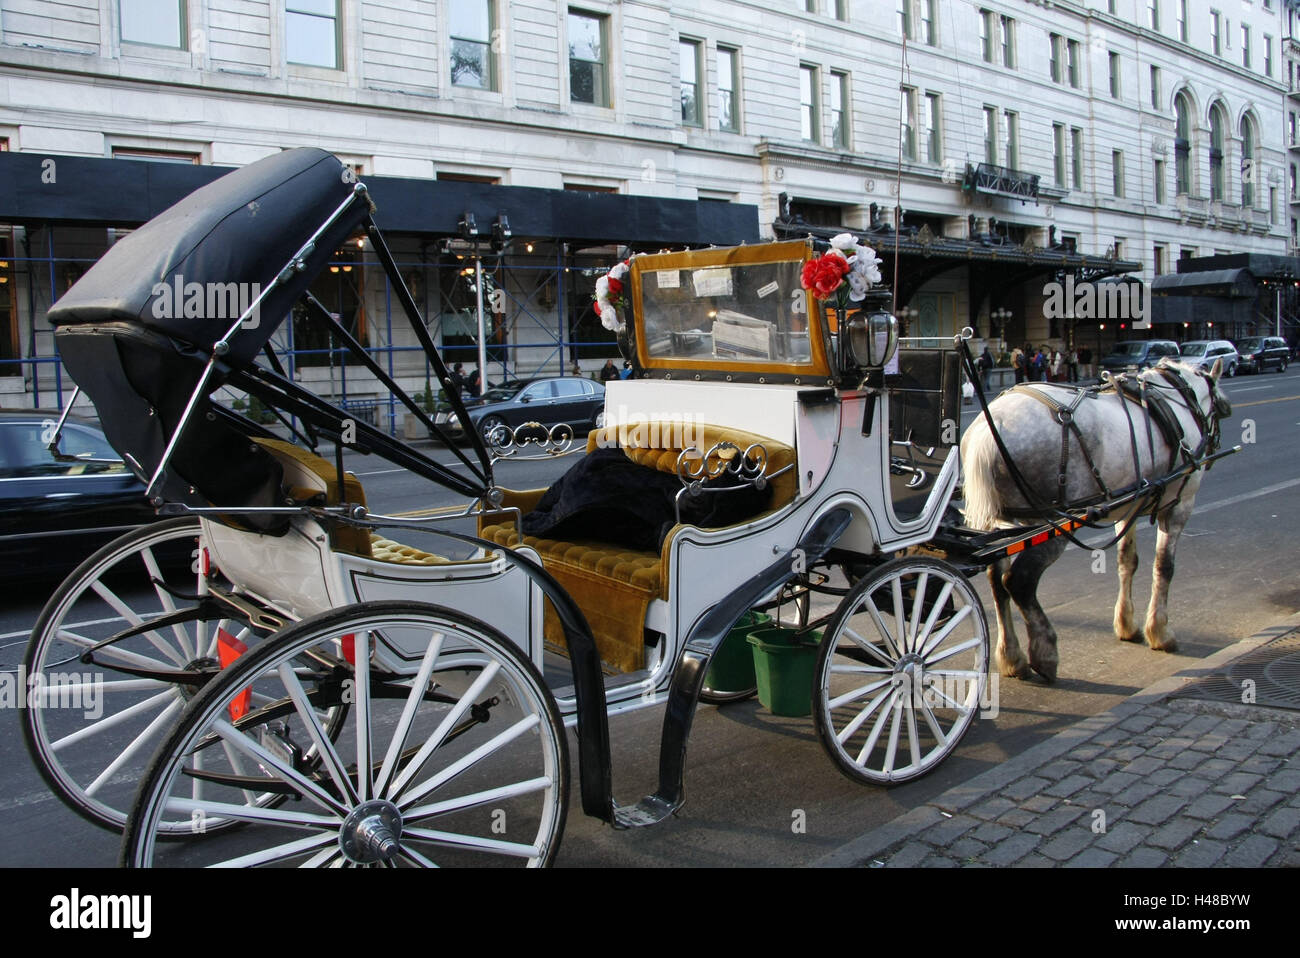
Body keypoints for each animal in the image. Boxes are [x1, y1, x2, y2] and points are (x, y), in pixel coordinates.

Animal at [961, 356, 1232, 681]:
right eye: (1220, 407)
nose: (1216, 446)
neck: (1176, 401)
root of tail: (992, 426)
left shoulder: (1127, 508)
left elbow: (1127, 561)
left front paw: (1127, 624)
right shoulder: (1179, 505)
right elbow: (1164, 567)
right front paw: (1160, 632)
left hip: (999, 523)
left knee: (997, 582)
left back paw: (1012, 657)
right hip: (1051, 524)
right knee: (1019, 582)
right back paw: (1044, 652)